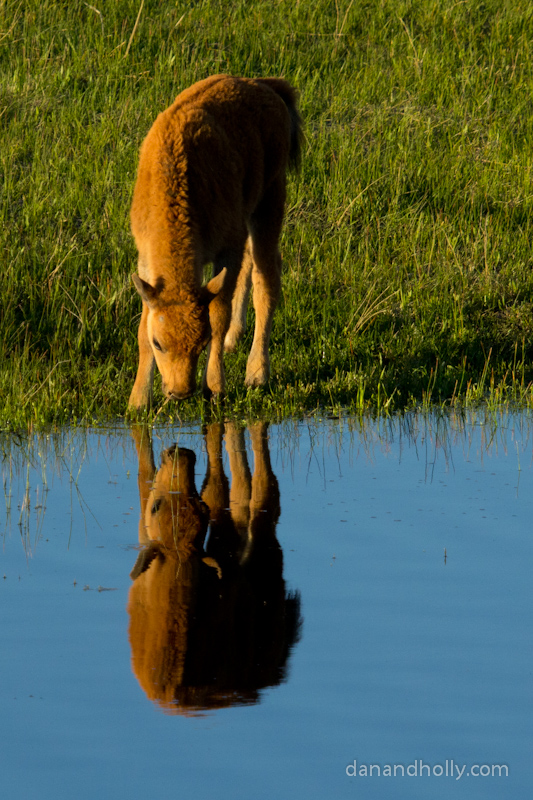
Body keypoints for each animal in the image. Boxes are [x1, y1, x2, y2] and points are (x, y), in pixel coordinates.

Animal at [128, 75, 303, 409]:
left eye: (203, 341)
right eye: (159, 343)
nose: (180, 392)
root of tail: (266, 86)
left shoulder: (226, 250)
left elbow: (219, 311)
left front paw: (215, 387)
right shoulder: (145, 261)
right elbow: (142, 327)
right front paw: (138, 400)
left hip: (269, 200)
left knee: (266, 278)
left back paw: (256, 374)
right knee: (252, 267)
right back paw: (235, 339)